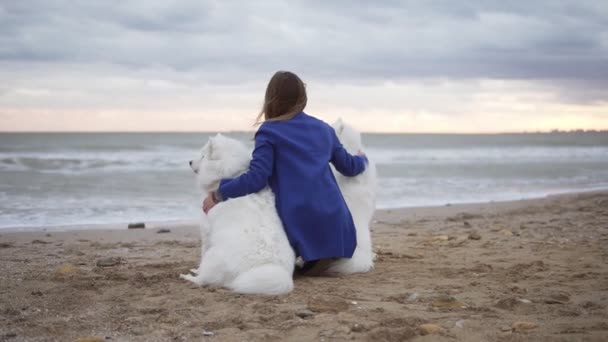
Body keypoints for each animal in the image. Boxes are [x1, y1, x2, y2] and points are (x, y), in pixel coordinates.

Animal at [179, 135, 296, 296]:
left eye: (203, 156)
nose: (189, 162)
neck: (229, 177)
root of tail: (264, 266)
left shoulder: (206, 231)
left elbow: (202, 253)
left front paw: (196, 270)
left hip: (214, 256)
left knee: (204, 280)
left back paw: (188, 277)